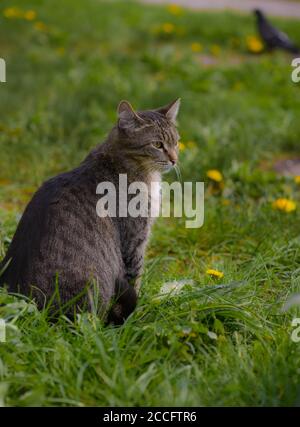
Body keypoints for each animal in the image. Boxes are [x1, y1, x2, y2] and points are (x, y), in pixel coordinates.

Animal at [0, 98, 180, 324]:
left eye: (176, 142)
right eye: (157, 144)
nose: (175, 159)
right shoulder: (134, 240)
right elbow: (135, 279)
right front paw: (138, 316)